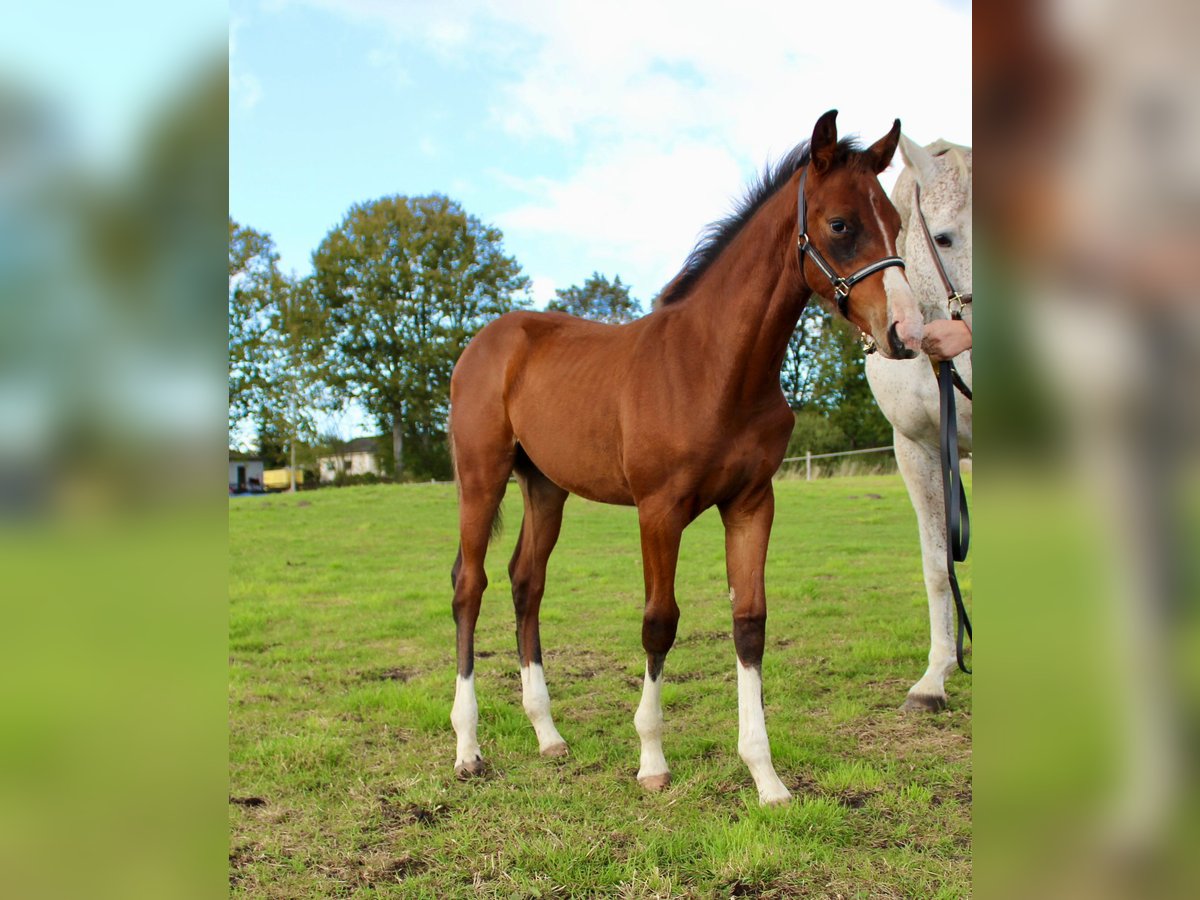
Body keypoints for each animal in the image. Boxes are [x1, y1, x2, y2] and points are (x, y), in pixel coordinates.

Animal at [446, 109, 921, 806]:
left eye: (895, 220)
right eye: (840, 224)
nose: (906, 333)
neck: (715, 367)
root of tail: (486, 341)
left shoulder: (752, 502)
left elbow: (749, 621)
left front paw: (766, 778)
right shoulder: (658, 510)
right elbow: (659, 622)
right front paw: (651, 761)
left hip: (546, 487)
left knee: (525, 583)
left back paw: (547, 734)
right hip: (481, 477)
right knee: (470, 586)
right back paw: (468, 748)